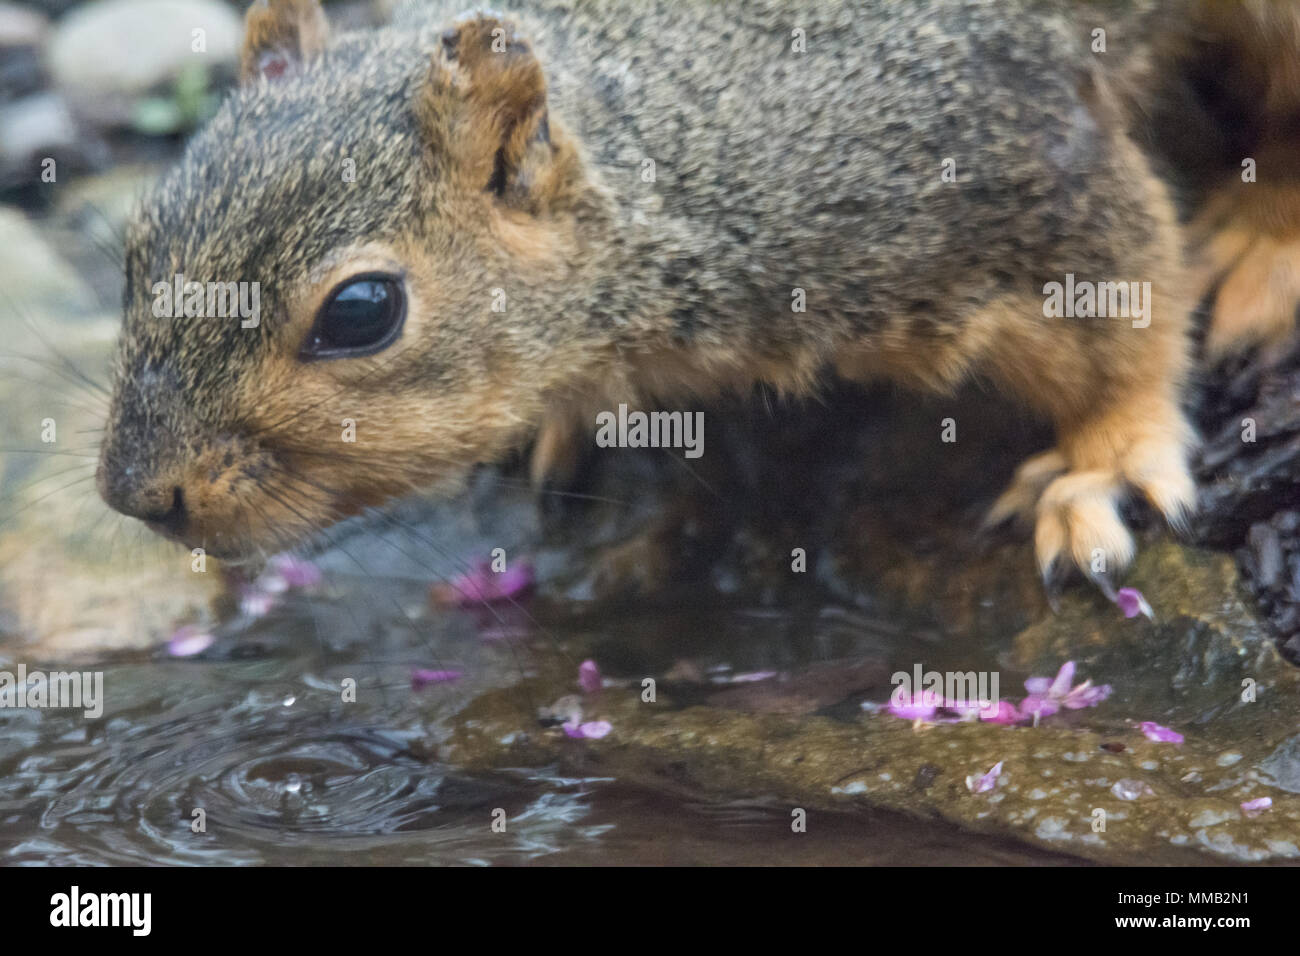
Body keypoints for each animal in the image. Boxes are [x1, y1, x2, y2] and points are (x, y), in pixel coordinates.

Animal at [98, 1, 1300, 590]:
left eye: (361, 313)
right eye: (137, 246)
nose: (136, 495)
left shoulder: (1006, 158)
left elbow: (1126, 303)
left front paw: (1106, 459)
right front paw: (566, 421)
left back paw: (1261, 238)